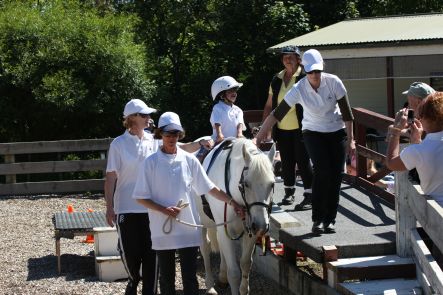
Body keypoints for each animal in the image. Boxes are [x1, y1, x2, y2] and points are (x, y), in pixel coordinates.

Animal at [197, 139, 276, 295]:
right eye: (246, 184)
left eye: (272, 184)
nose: (261, 225)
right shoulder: (226, 230)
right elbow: (233, 272)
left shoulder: (250, 232)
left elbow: (245, 264)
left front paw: (244, 289)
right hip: (202, 223)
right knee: (205, 248)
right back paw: (210, 286)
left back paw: (221, 277)